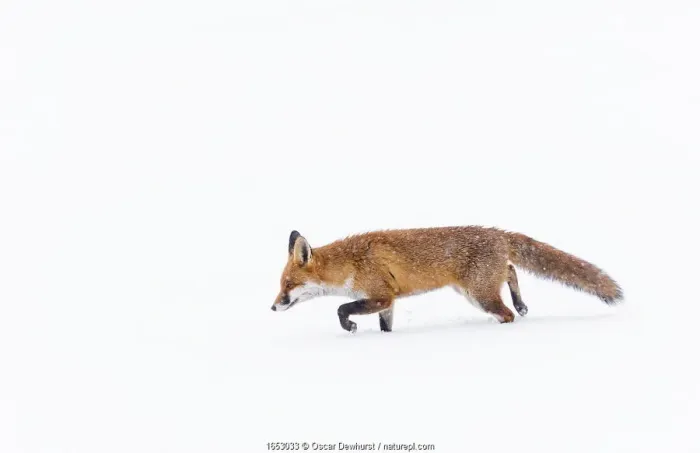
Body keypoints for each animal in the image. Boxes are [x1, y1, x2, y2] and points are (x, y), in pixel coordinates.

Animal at [271, 226, 623, 333]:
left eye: (288, 285)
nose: (273, 307)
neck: (352, 263)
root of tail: (498, 233)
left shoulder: (382, 295)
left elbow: (341, 308)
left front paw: (350, 327)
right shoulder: (388, 301)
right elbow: (386, 328)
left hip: (479, 296)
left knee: (506, 310)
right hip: (475, 288)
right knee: (511, 270)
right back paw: (522, 304)